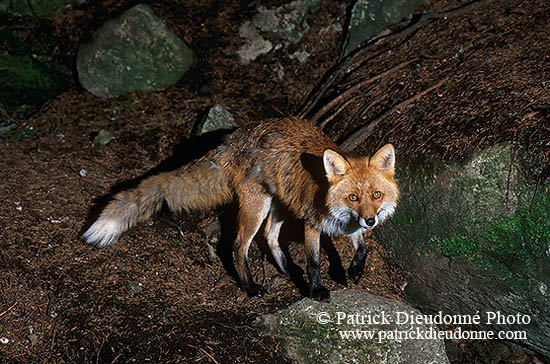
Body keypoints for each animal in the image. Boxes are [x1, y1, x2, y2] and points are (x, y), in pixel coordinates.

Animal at [84, 117, 398, 302]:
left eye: (376, 195)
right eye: (353, 197)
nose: (371, 221)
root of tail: (233, 139)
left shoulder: (350, 225)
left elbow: (362, 248)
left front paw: (353, 272)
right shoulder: (312, 223)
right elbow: (314, 262)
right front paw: (316, 289)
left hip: (278, 203)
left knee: (269, 235)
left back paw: (286, 269)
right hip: (256, 206)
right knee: (238, 246)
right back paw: (250, 287)